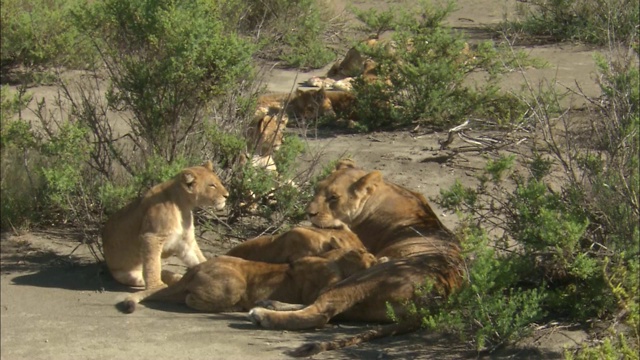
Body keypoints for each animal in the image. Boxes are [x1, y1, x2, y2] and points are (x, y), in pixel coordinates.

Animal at [101, 160, 229, 290]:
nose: (227, 195)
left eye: (219, 182)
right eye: (212, 185)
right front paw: (156, 286)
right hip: (128, 275)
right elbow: (153, 263)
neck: (183, 206)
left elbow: (197, 258)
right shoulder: (151, 237)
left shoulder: (185, 239)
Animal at [120, 246, 380, 314]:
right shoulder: (321, 284)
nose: (379, 259)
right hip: (236, 284)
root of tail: (192, 271)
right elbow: (308, 302)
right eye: (371, 256)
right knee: (189, 301)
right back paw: (234, 307)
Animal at [248, 161, 462, 358]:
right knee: (326, 306)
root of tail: (435, 302)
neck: (380, 196)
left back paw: (263, 315)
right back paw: (269, 303)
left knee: (321, 313)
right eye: (317, 190)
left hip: (363, 278)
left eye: (333, 197)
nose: (309, 213)